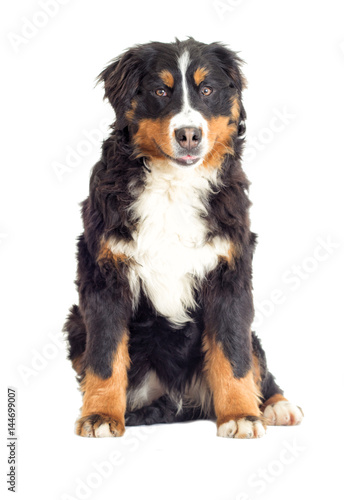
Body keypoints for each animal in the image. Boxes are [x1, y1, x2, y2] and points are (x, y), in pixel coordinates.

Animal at [63, 38, 302, 438]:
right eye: (161, 91)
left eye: (207, 91)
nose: (188, 134)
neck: (174, 186)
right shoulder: (104, 276)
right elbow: (105, 356)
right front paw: (100, 415)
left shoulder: (229, 275)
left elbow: (233, 355)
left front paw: (241, 414)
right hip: (75, 323)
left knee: (255, 361)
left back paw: (277, 406)